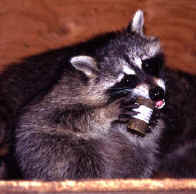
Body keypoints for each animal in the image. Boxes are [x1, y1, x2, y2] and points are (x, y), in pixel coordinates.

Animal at [0, 10, 165, 180]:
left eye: (147, 64)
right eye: (127, 79)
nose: (157, 93)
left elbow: (139, 136)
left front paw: (151, 122)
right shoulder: (64, 94)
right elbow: (65, 116)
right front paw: (106, 113)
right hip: (45, 149)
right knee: (81, 159)